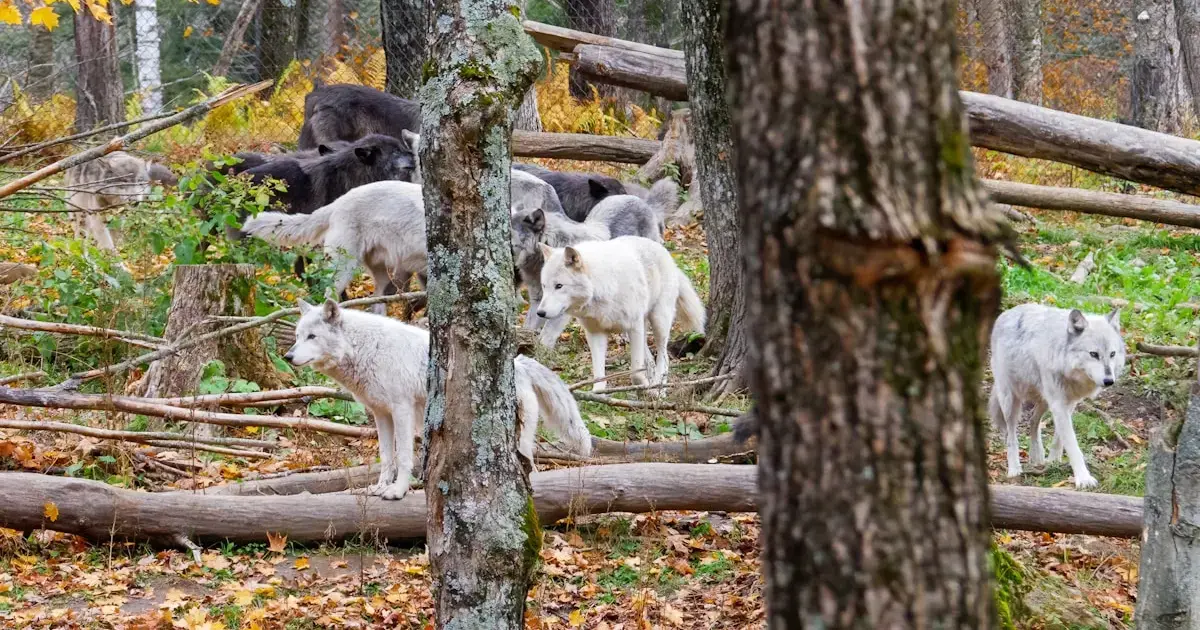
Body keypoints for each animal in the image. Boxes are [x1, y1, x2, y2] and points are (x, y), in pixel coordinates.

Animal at [285, 299, 593, 499]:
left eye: (312, 336)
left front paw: (397, 491)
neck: (364, 348)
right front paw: (380, 487)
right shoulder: (381, 414)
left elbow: (404, 457)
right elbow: (386, 457)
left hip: (518, 438)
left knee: (532, 466)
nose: (288, 356)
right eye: (298, 336)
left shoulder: (401, 410)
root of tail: (521, 363)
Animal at [536, 236, 705, 391]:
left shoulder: (634, 327)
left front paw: (643, 388)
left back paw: (658, 388)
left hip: (658, 321)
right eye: (544, 286)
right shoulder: (595, 334)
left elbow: (635, 373)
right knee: (650, 360)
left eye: (559, 286)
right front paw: (599, 395)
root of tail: (666, 253)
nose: (540, 313)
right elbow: (599, 377)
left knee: (664, 356)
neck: (600, 286)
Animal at [989, 304, 1125, 489]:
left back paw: (1037, 456)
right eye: (1094, 354)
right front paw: (1083, 478)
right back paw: (1014, 468)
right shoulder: (1059, 405)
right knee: (1011, 435)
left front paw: (1053, 460)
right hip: (1011, 401)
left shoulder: (1069, 402)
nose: (1109, 381)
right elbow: (1072, 443)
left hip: (1044, 401)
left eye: (1112, 354)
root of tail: (1006, 312)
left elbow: (1060, 438)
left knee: (1033, 421)